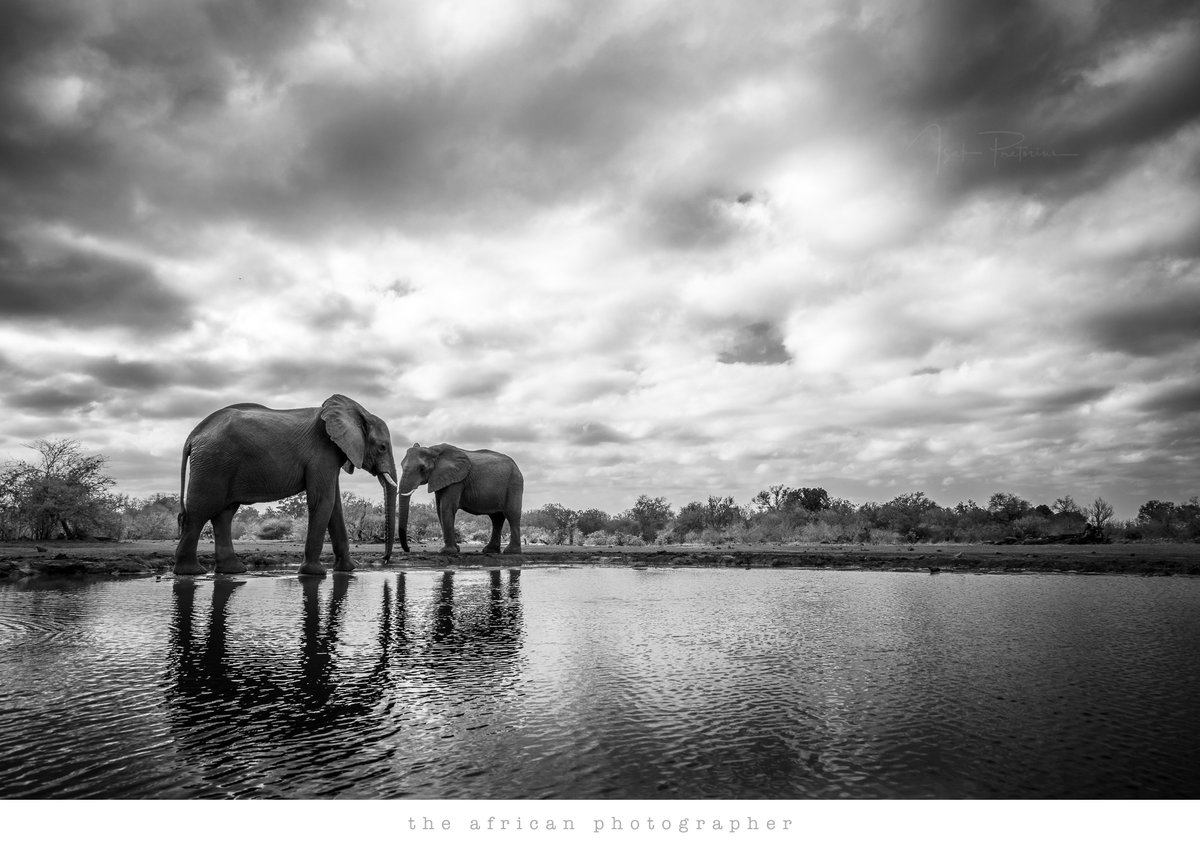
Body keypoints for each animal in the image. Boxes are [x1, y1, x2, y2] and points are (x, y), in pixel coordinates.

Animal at [172, 395, 408, 577]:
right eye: (382, 447)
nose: (385, 560)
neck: (358, 412)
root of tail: (193, 436)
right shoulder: (322, 453)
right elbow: (323, 501)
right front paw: (315, 573)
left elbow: (335, 507)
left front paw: (349, 570)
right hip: (213, 463)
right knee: (200, 511)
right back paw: (191, 572)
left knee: (223, 514)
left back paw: (233, 571)